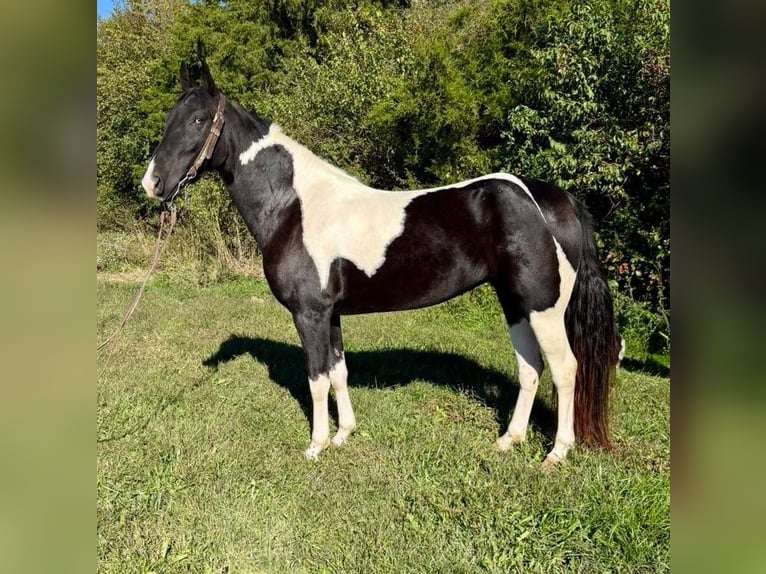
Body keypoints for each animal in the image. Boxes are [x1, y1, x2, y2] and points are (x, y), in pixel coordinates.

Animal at [141, 60, 621, 466]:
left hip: (544, 307)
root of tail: (557, 199)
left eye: (198, 120)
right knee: (530, 368)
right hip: (515, 303)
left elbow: (317, 378)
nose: (153, 183)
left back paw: (556, 454)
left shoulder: (309, 314)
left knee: (565, 369)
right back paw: (509, 440)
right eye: (168, 119)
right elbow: (339, 372)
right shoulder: (330, 314)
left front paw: (316, 446)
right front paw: (343, 435)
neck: (294, 205)